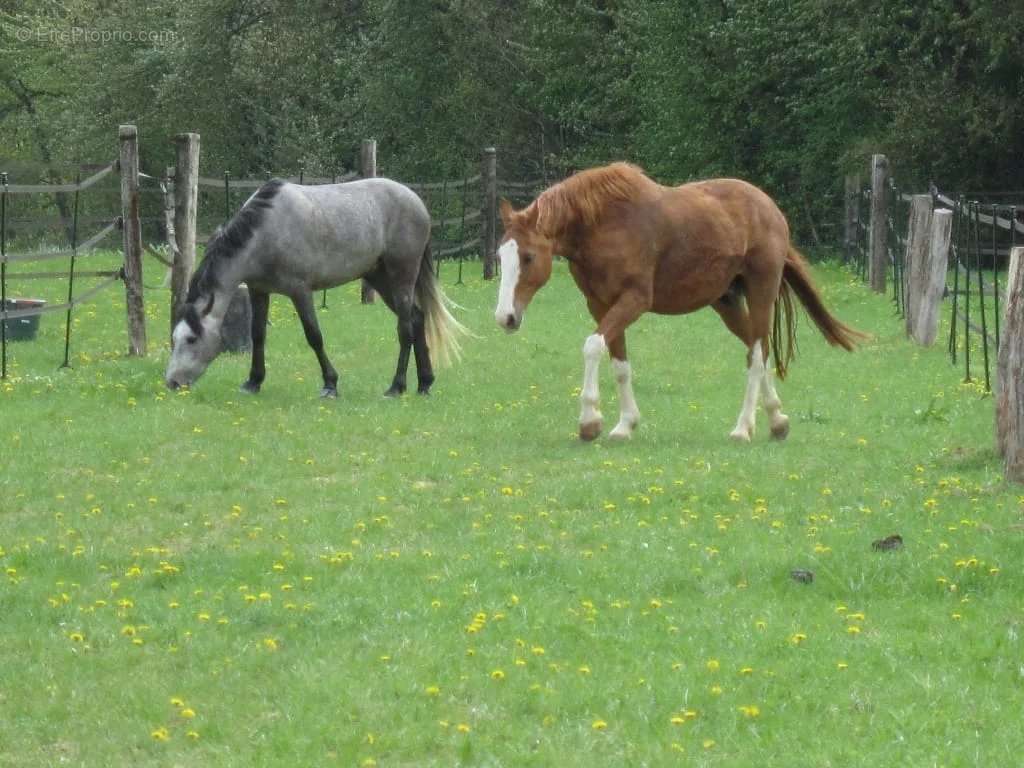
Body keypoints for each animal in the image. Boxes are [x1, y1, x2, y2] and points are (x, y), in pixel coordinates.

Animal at [164, 178, 468, 399]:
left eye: (191, 339)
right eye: (174, 338)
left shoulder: (300, 292)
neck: (265, 232)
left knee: (405, 328)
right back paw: (425, 383)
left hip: (401, 276)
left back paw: (396, 387)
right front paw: (253, 382)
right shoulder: (258, 291)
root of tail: (417, 202)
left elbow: (314, 336)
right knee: (417, 319)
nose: (172, 382)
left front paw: (330, 385)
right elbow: (258, 336)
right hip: (380, 279)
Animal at [495, 160, 864, 444]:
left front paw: (589, 421)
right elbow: (619, 365)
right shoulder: (600, 305)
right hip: (727, 303)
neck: (602, 226)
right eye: (501, 256)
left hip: (761, 293)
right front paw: (624, 425)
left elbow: (592, 346)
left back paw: (743, 428)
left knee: (757, 356)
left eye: (528, 257)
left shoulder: (634, 300)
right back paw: (777, 421)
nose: (505, 317)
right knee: (757, 350)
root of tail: (770, 208)